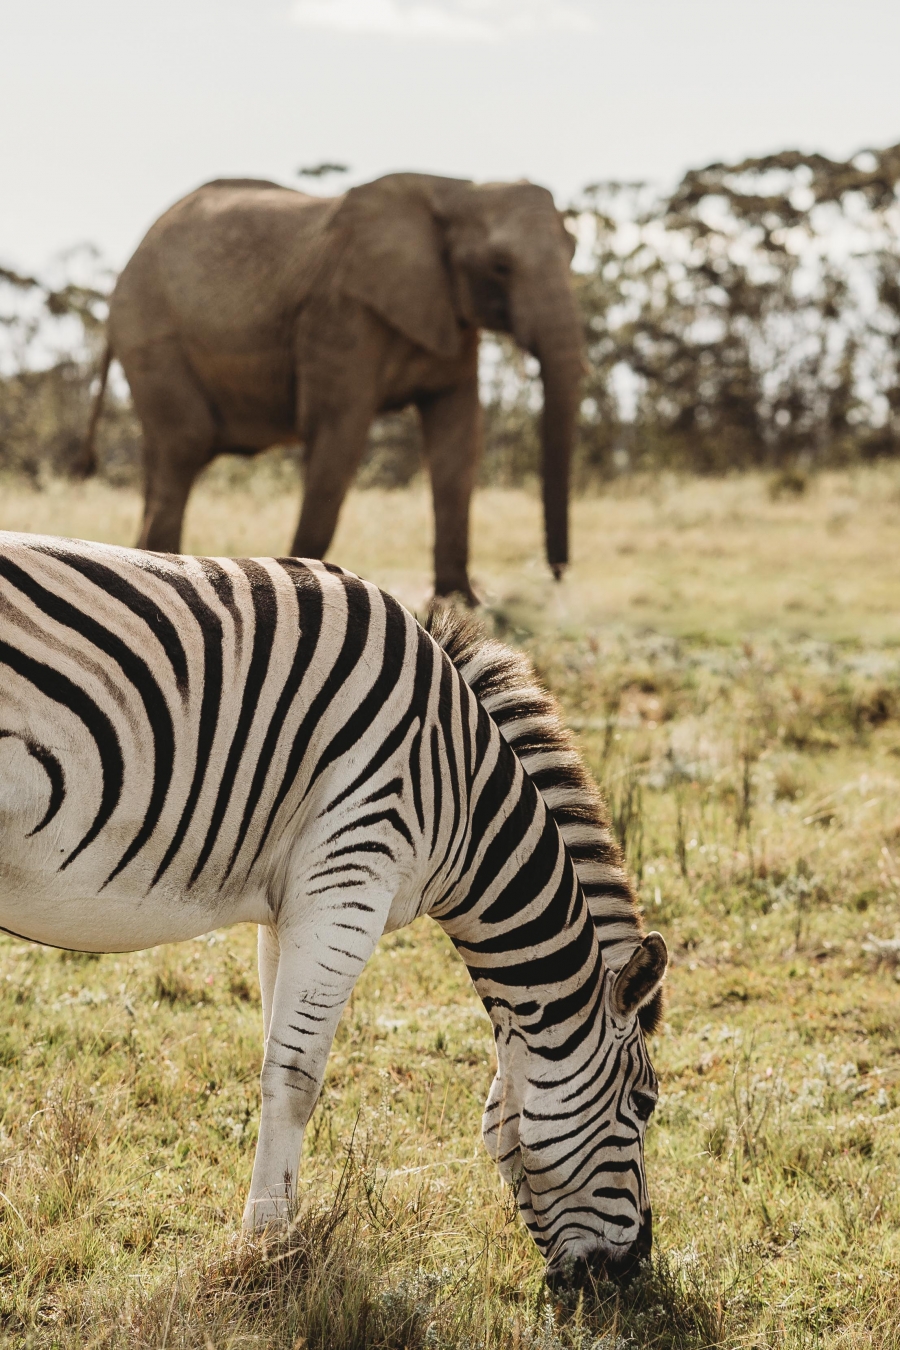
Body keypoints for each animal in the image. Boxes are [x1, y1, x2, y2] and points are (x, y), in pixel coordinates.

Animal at [0, 529, 666, 1285]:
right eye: (644, 1104)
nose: (636, 1265)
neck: (462, 796)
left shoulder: (288, 904)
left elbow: (274, 1059)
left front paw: (278, 1232)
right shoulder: (350, 877)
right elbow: (295, 1079)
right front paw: (266, 1244)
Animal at [84, 170, 585, 602]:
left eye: (575, 250)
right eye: (500, 265)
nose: (557, 576)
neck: (456, 188)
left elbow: (458, 443)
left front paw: (461, 601)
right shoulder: (340, 313)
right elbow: (339, 434)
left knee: (162, 455)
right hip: (151, 332)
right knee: (186, 444)